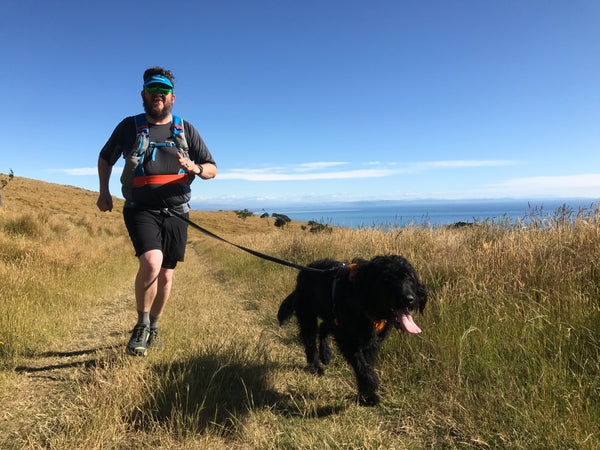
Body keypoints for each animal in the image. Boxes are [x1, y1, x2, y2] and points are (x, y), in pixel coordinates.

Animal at [278, 255, 428, 406]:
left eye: (409, 278)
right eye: (387, 279)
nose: (409, 299)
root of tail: (304, 270)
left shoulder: (371, 342)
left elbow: (367, 364)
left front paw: (366, 395)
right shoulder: (348, 339)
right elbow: (363, 367)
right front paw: (370, 391)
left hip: (332, 318)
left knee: (323, 329)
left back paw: (325, 354)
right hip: (308, 316)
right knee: (310, 342)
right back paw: (315, 367)